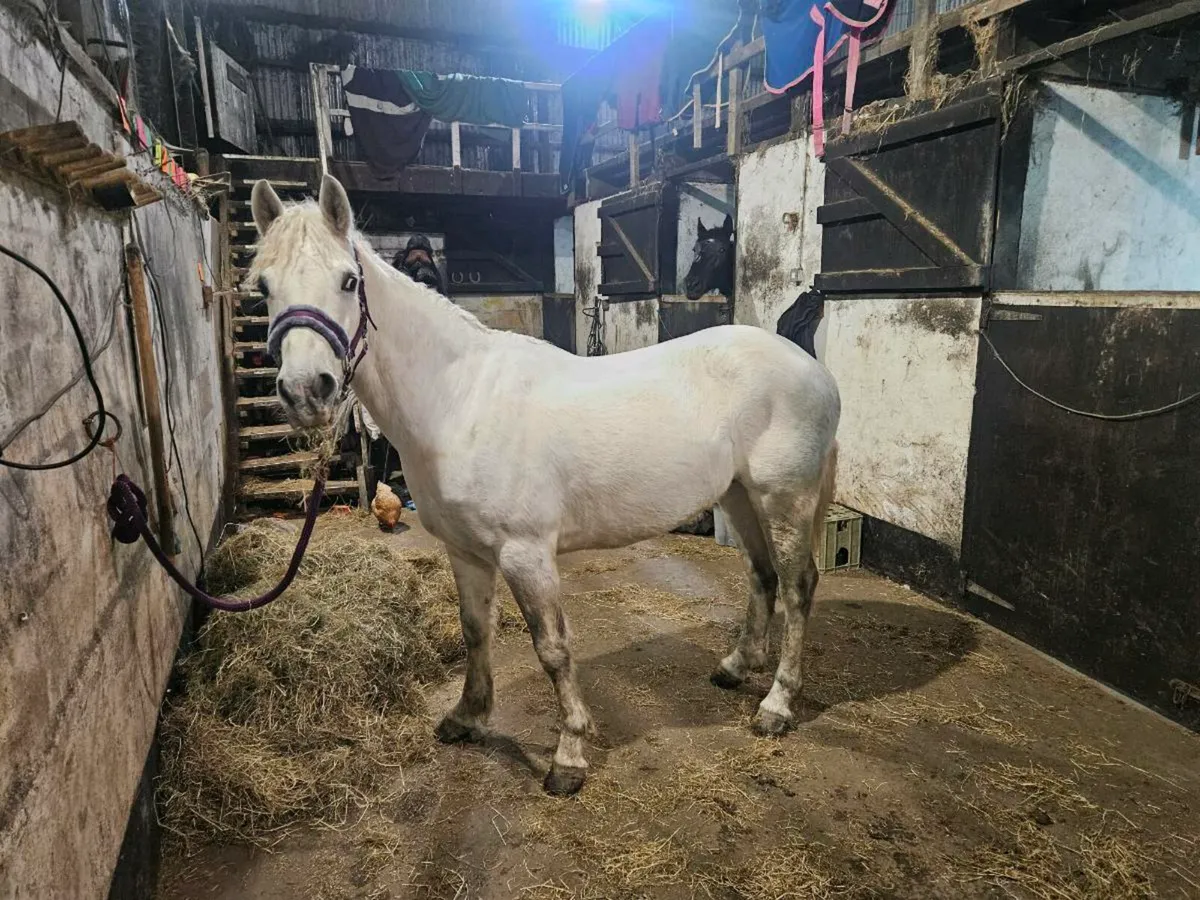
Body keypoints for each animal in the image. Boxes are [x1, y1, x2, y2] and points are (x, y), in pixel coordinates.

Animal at [249, 175, 841, 796]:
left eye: (348, 280)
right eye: (263, 287)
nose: (305, 391)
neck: (459, 400)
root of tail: (811, 367)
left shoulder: (526, 553)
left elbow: (552, 649)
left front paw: (569, 755)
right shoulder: (464, 551)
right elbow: (475, 631)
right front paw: (467, 716)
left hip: (785, 498)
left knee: (798, 586)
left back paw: (776, 705)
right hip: (738, 495)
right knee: (762, 575)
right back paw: (734, 668)